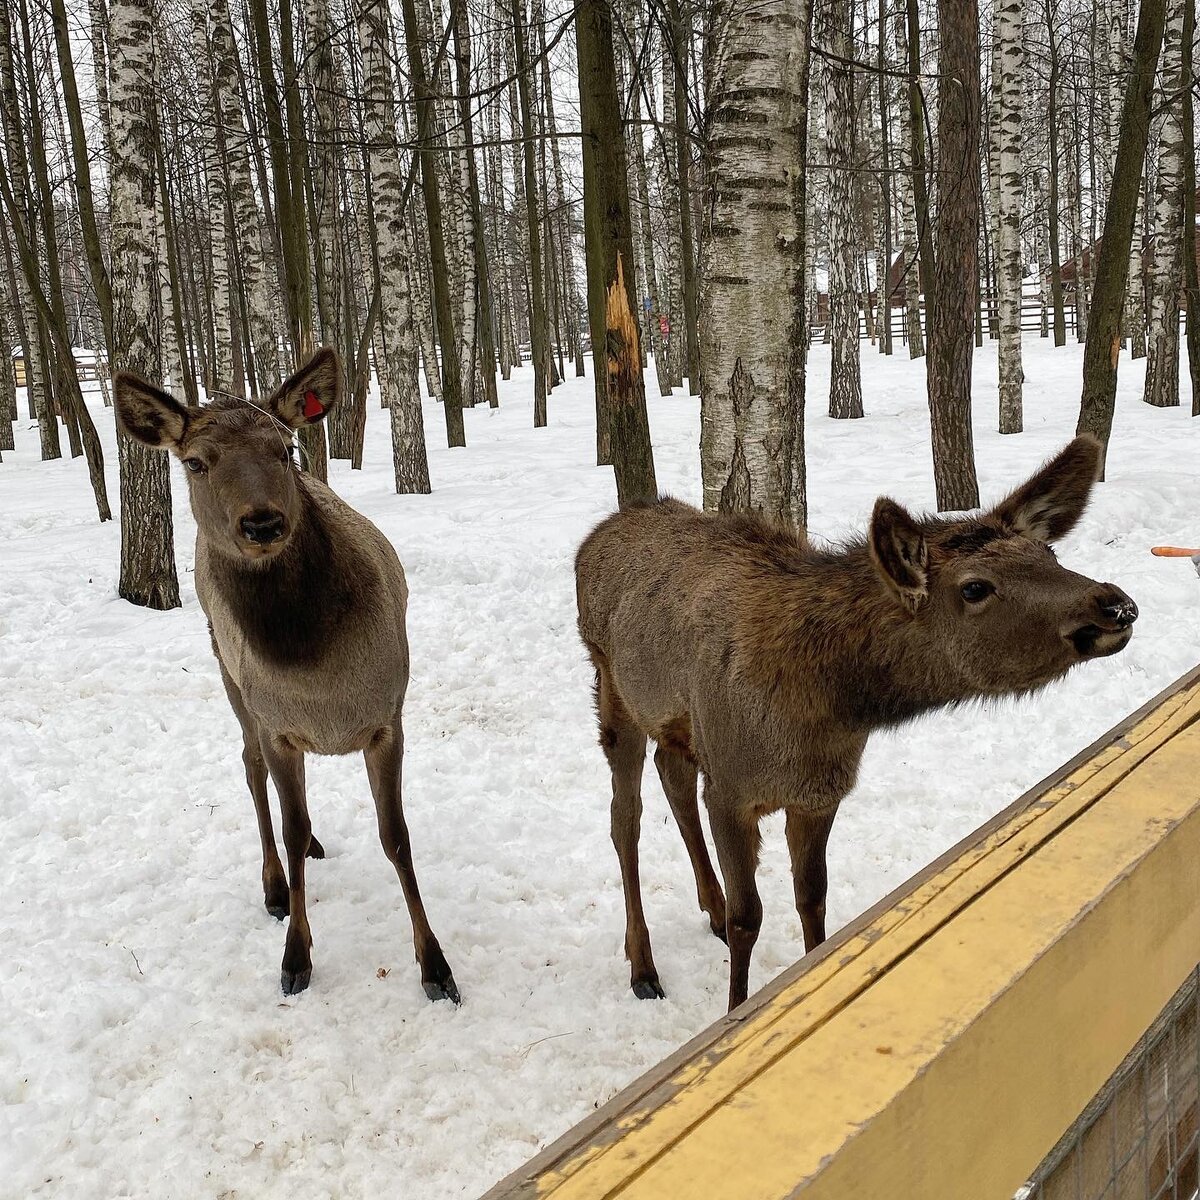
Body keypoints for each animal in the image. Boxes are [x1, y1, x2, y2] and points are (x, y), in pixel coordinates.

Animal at [112, 350, 458, 1003]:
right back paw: (274, 886)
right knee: (251, 769)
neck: (316, 674)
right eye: (194, 461)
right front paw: (296, 957)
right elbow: (292, 827)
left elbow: (396, 836)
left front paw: (436, 965)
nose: (263, 524)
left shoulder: (387, 717)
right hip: (228, 672)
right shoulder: (278, 725)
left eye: (285, 448)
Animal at [576, 436, 1137, 1008]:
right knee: (625, 816)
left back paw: (706, 908)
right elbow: (748, 918)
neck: (823, 714)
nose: (1114, 605)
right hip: (610, 685)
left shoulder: (819, 795)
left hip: (675, 723)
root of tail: (596, 536)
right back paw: (643, 967)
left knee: (672, 773)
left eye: (1049, 554)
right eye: (976, 588)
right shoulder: (731, 791)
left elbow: (812, 898)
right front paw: (737, 1005)